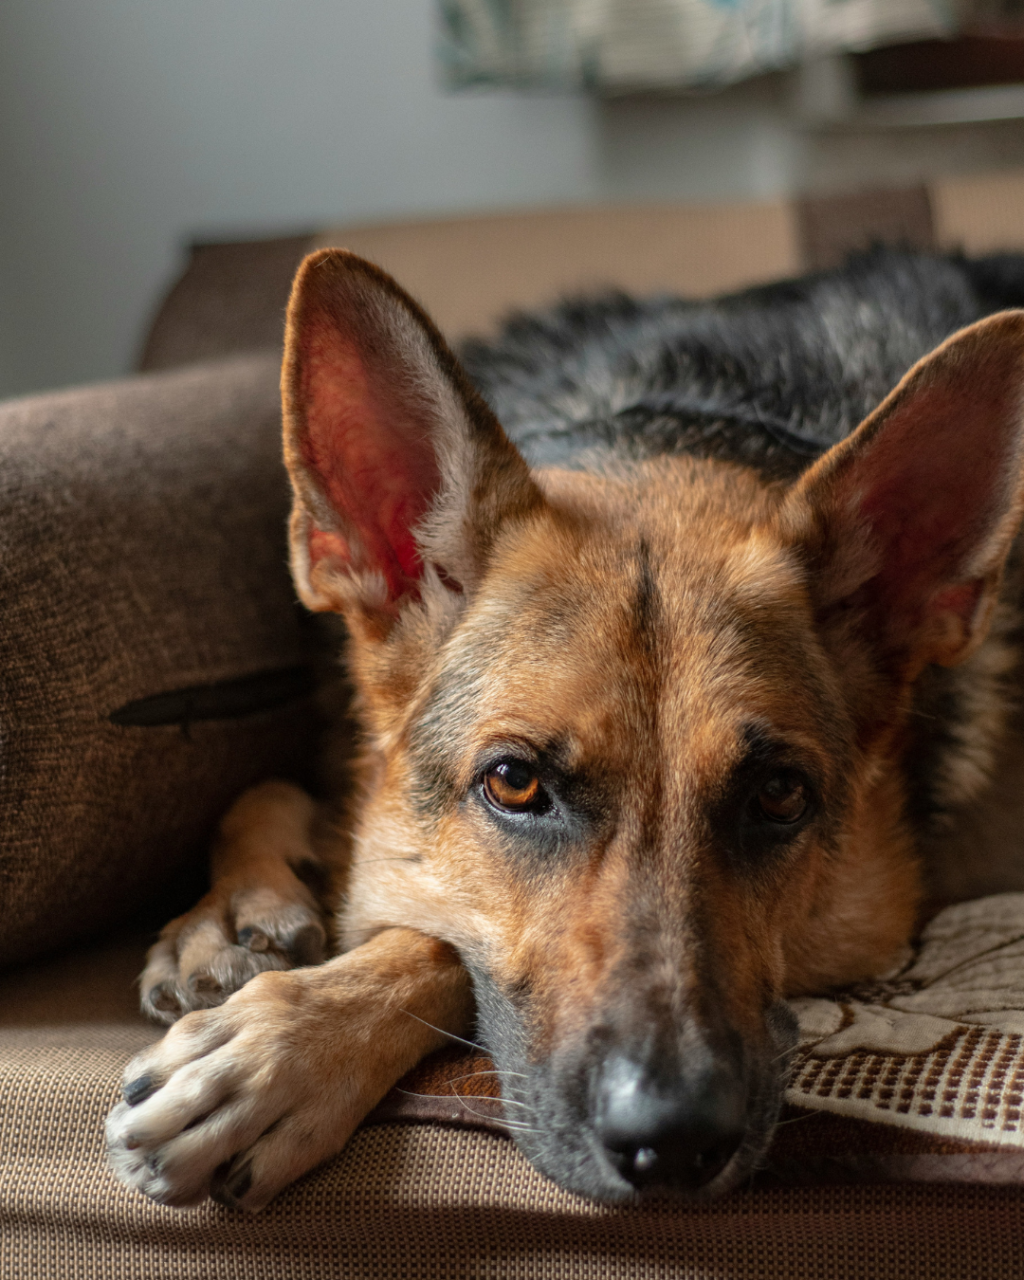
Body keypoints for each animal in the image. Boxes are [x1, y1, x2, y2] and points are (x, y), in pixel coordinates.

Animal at [106, 247, 1024, 1208]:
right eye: (514, 783)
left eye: (779, 795)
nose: (674, 1144)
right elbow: (269, 789)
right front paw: (237, 911)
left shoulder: (879, 912)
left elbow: (435, 941)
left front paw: (284, 1051)